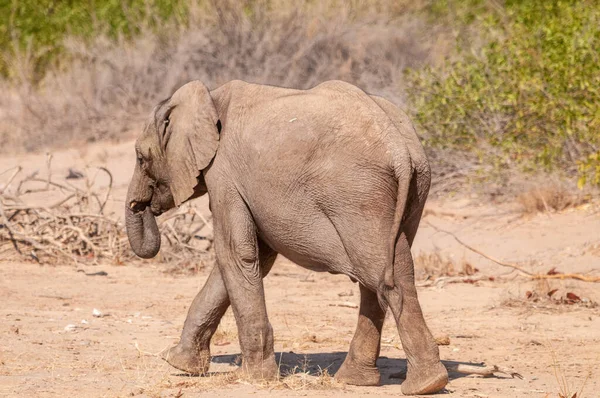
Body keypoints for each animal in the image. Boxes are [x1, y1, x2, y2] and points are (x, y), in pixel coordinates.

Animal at [125, 78, 446, 394]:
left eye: (141, 158)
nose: (141, 205)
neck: (210, 96)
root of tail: (399, 149)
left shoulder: (224, 174)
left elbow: (236, 254)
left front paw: (254, 378)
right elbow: (253, 259)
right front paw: (180, 363)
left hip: (357, 194)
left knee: (381, 274)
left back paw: (424, 384)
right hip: (415, 185)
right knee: (385, 272)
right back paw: (370, 381)